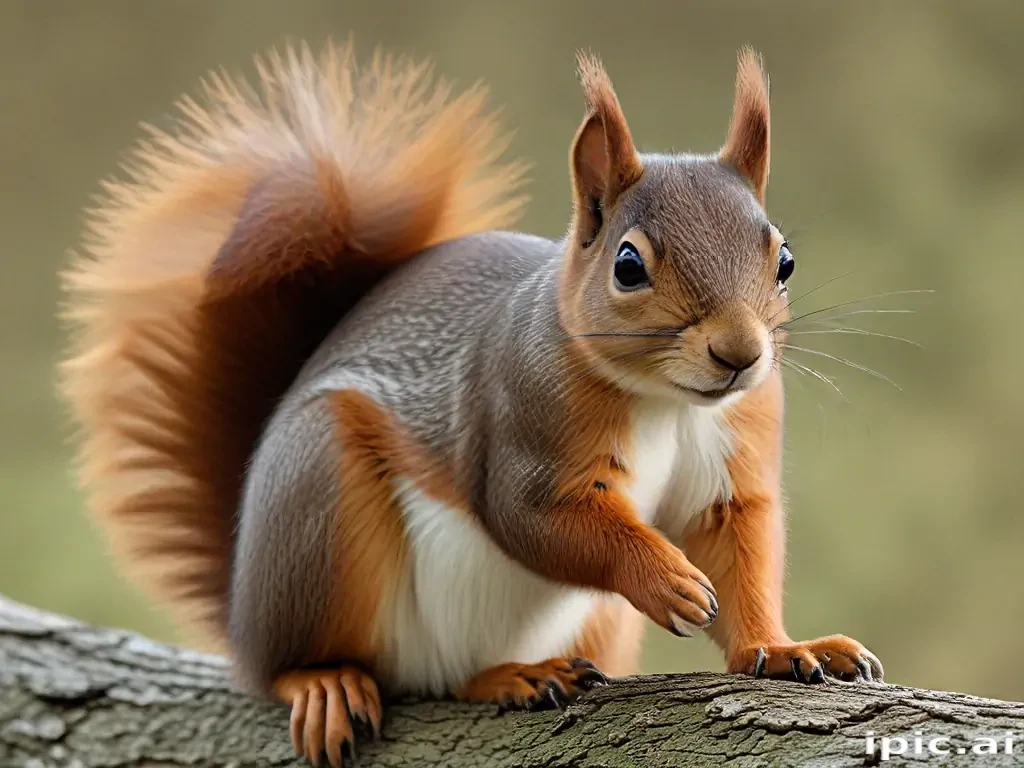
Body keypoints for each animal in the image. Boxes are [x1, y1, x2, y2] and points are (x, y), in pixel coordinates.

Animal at [60, 41, 883, 766]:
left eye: (784, 261)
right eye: (627, 266)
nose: (740, 354)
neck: (667, 402)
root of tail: (241, 611)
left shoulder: (734, 459)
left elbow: (739, 551)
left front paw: (783, 648)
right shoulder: (521, 420)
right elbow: (536, 520)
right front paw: (665, 578)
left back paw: (523, 672)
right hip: (319, 514)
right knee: (337, 670)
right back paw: (333, 680)